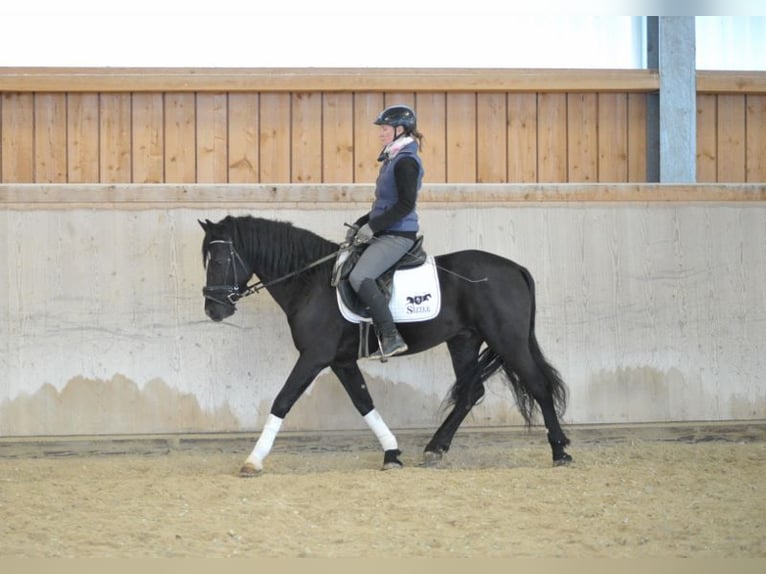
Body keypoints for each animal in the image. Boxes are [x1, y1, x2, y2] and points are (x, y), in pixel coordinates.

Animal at [201, 216, 572, 476]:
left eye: (217, 261)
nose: (213, 311)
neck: (311, 282)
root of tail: (516, 268)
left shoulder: (314, 357)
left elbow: (283, 400)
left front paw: (253, 460)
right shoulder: (340, 360)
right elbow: (363, 402)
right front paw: (392, 453)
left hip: (507, 339)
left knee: (538, 386)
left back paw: (560, 452)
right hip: (464, 341)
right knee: (471, 392)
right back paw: (435, 448)